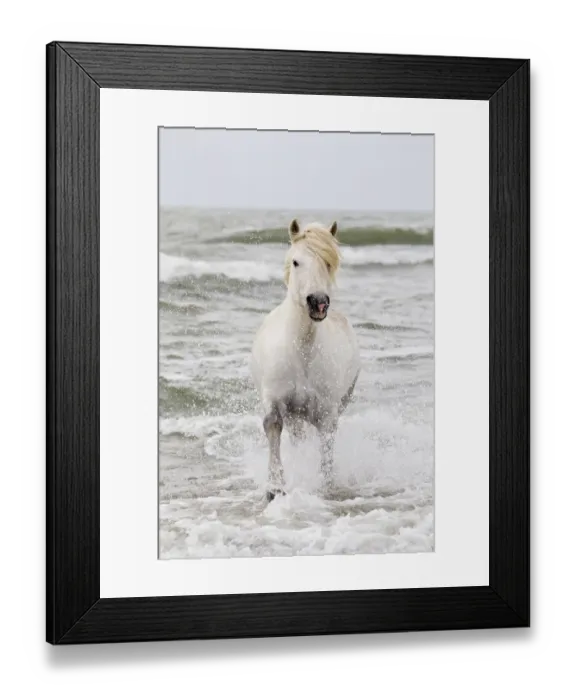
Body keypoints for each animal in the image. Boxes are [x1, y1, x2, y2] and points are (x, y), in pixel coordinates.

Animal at [250, 218, 361, 501]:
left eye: (328, 263)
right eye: (296, 262)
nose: (318, 302)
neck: (302, 351)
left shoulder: (327, 412)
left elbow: (326, 446)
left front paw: (326, 487)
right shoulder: (275, 401)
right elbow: (273, 428)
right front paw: (275, 488)